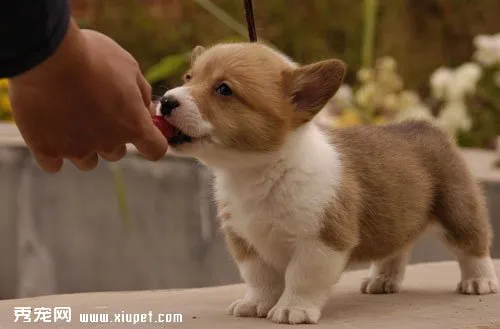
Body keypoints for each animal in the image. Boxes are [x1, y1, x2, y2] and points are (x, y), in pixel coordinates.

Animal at [158, 43, 498, 322]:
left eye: (224, 89)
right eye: (188, 78)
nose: (165, 101)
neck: (258, 172)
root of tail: (428, 127)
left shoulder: (321, 240)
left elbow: (301, 277)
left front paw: (292, 309)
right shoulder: (245, 240)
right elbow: (259, 277)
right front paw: (256, 304)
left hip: (457, 210)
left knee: (473, 246)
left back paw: (479, 281)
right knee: (397, 248)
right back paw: (383, 280)